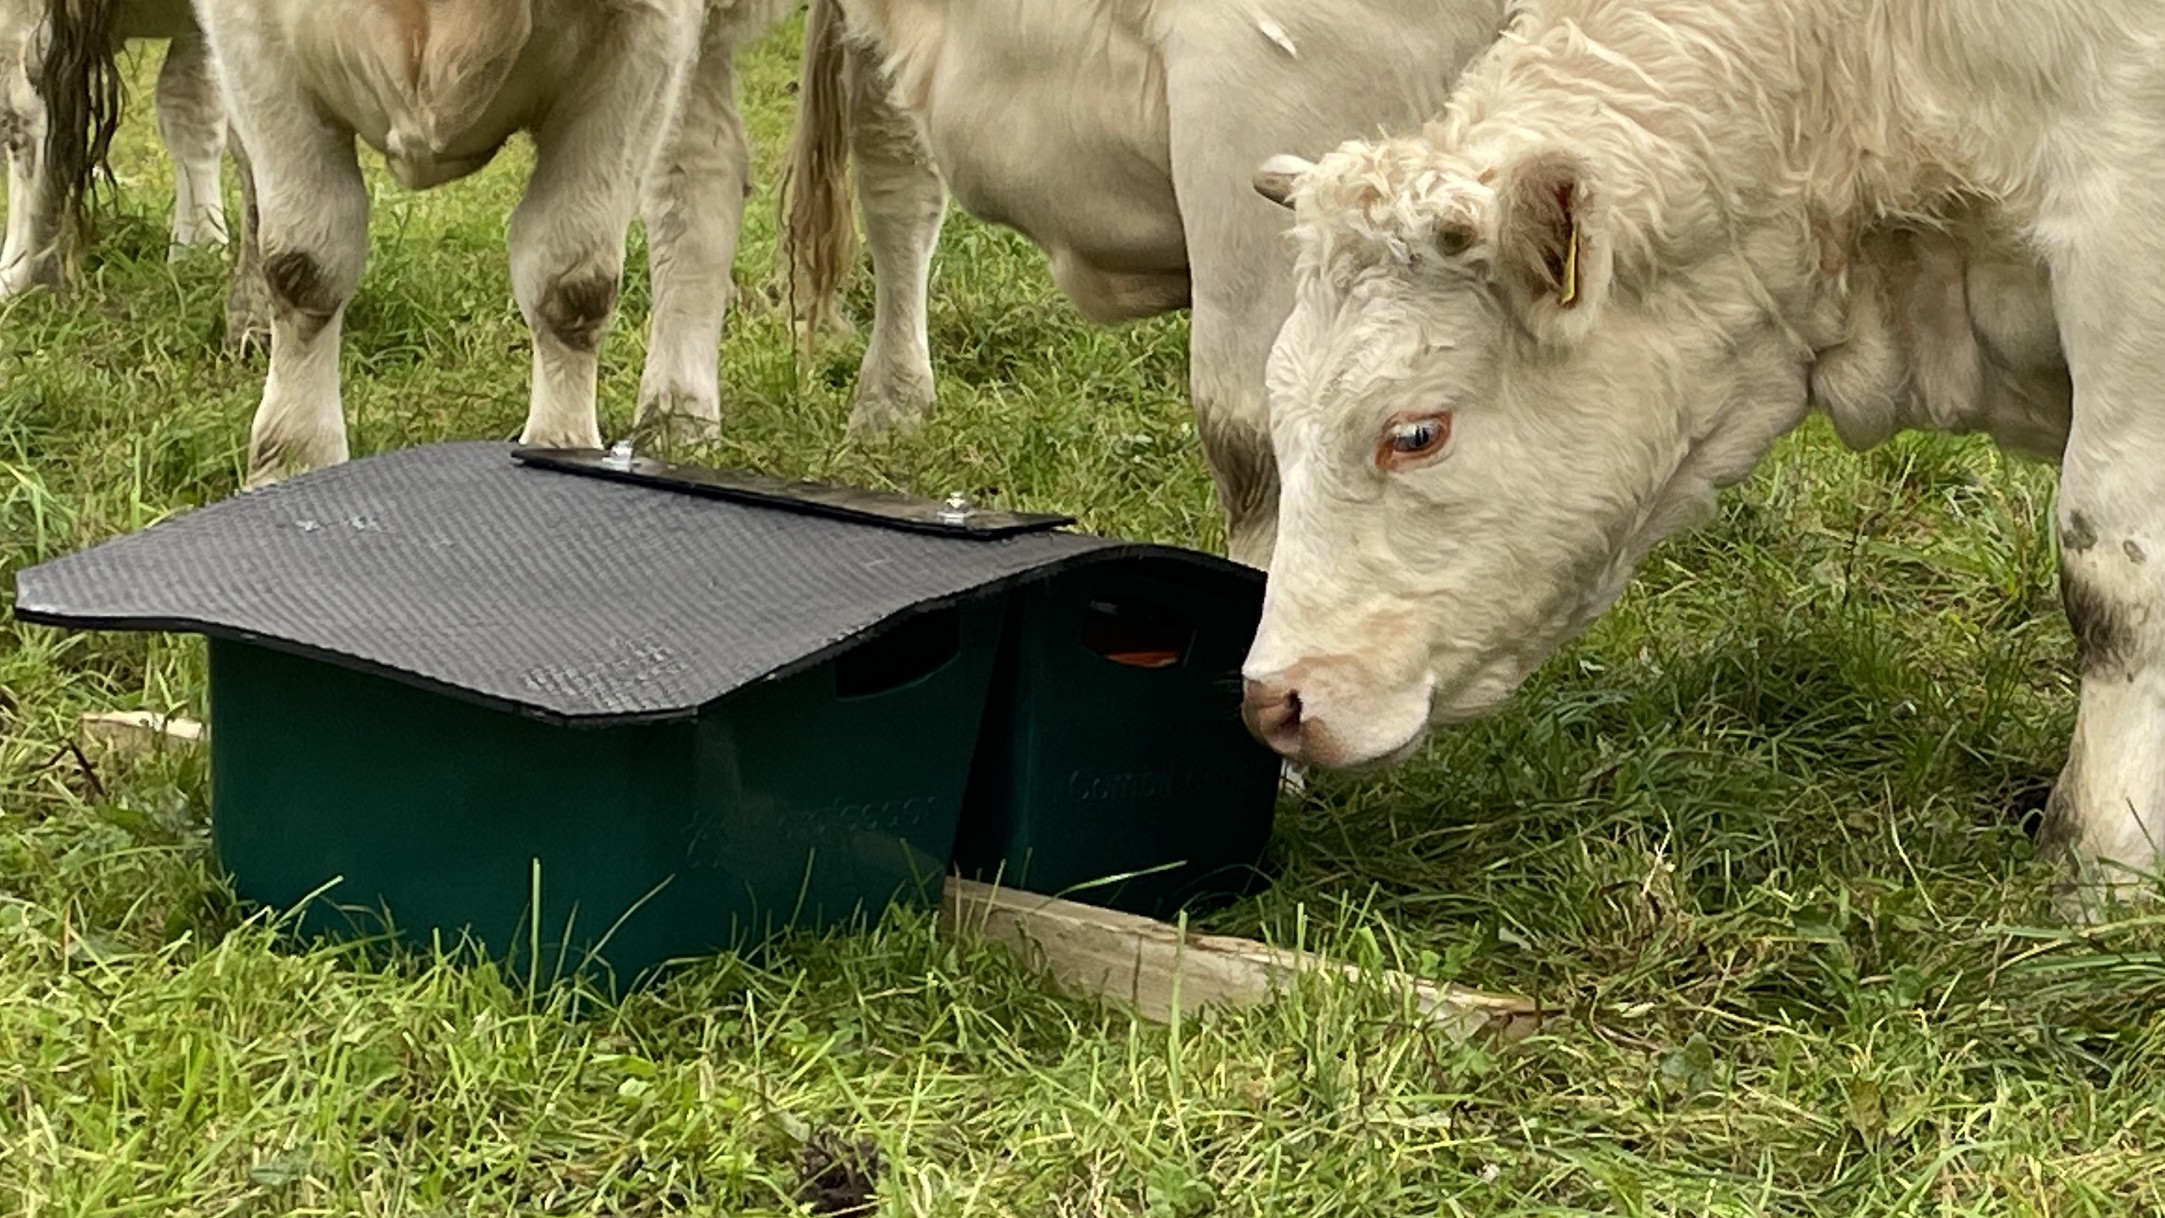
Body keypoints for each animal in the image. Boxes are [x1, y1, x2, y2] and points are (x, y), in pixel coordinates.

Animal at [1247, 0, 2165, 917]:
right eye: (1279, 419)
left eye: (1415, 433)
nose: (1270, 701)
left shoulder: (2126, 261)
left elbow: (2113, 582)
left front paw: (2099, 866)